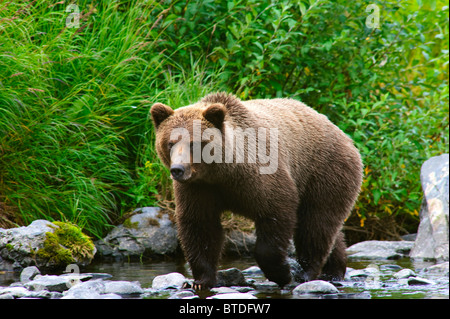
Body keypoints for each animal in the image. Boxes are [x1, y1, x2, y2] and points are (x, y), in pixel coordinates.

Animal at [150, 92, 362, 290]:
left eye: (194, 143)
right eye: (170, 142)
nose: (178, 169)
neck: (222, 172)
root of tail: (344, 136)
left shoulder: (260, 175)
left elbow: (276, 213)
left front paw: (283, 273)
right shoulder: (198, 189)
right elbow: (200, 225)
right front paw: (201, 281)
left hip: (324, 171)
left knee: (316, 222)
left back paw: (308, 272)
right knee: (328, 230)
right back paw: (334, 269)